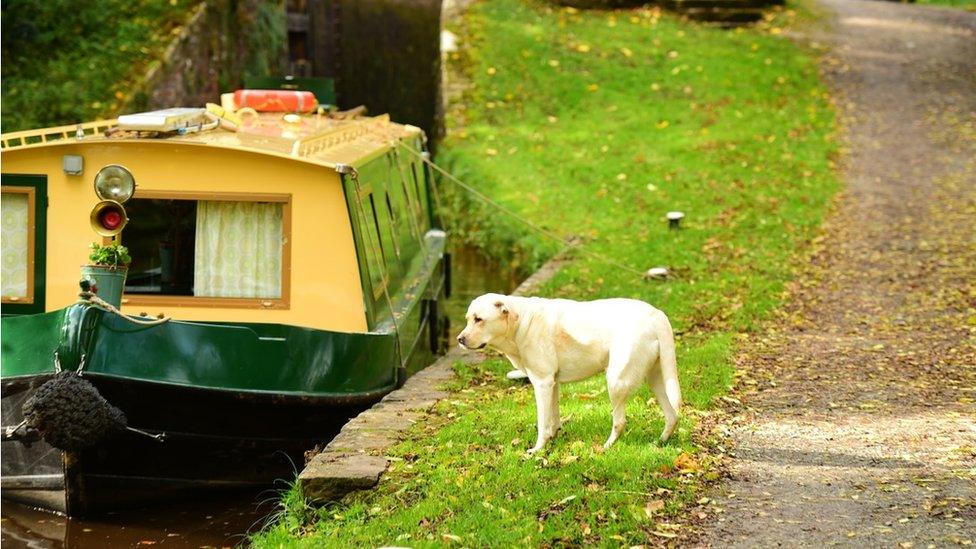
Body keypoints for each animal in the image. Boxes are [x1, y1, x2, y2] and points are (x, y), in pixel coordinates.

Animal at [456, 294, 680, 452]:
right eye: (468, 319)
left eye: (479, 319)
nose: (459, 339)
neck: (520, 323)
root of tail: (656, 314)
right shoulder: (553, 383)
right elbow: (553, 418)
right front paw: (553, 439)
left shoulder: (542, 383)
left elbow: (542, 421)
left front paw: (538, 449)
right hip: (656, 380)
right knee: (672, 415)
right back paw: (660, 442)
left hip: (616, 381)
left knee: (620, 422)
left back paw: (606, 447)